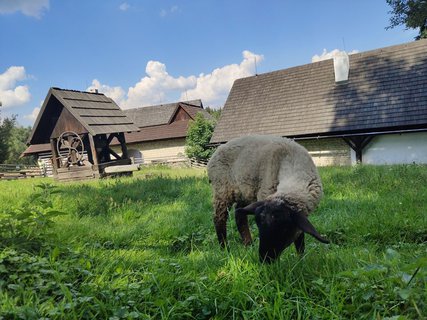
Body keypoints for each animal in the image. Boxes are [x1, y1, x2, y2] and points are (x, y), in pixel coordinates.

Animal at [208, 134, 332, 262]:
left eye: (284, 229)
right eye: (259, 226)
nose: (265, 259)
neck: (292, 162)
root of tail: (220, 148)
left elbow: (300, 238)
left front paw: (300, 259)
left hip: (245, 191)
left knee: (239, 214)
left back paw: (249, 245)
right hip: (222, 188)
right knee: (219, 218)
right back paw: (224, 248)